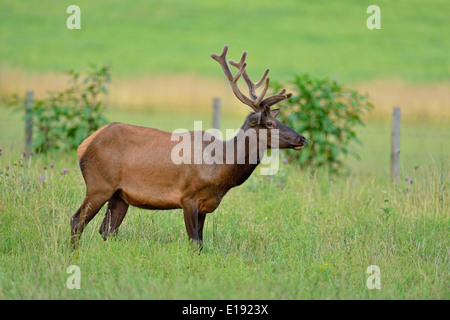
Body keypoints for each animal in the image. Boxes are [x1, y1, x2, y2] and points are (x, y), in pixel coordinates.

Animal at [70, 44, 308, 245]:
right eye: (269, 123)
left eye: (279, 120)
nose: (302, 139)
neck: (220, 168)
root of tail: (84, 145)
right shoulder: (187, 197)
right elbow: (194, 242)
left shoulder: (205, 204)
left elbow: (201, 242)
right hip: (99, 184)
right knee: (77, 221)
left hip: (120, 195)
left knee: (107, 230)